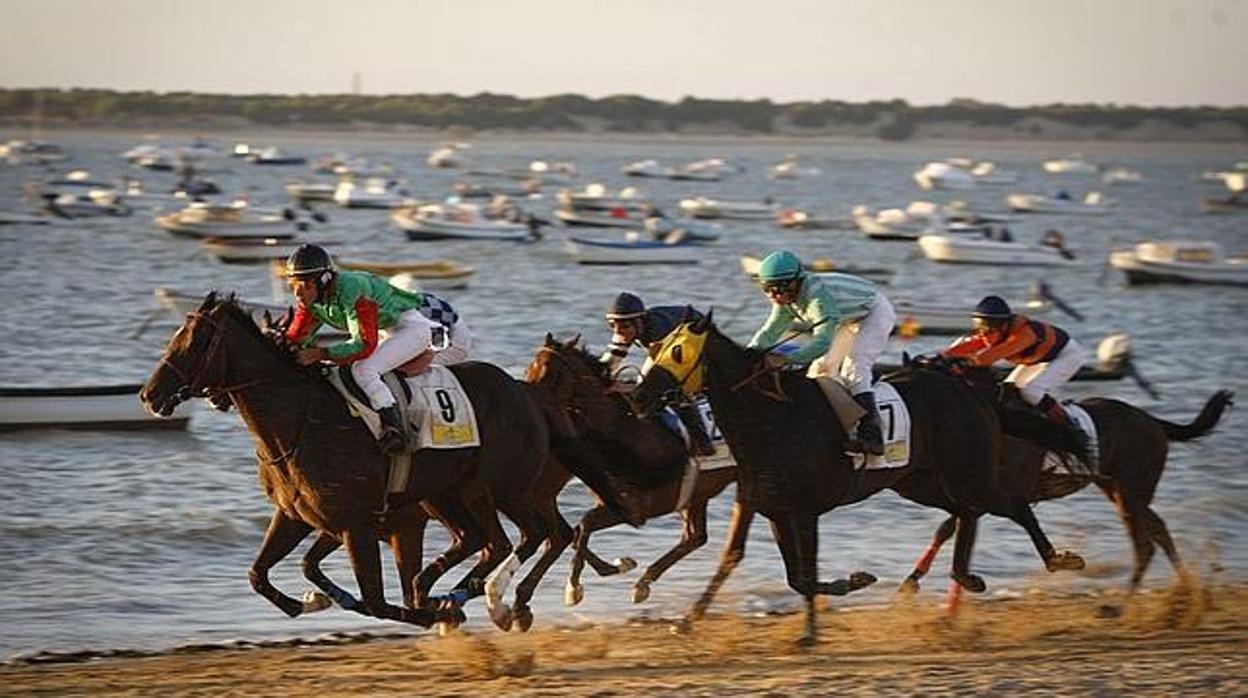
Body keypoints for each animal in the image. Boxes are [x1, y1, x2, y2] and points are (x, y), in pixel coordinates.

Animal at [141, 292, 566, 631]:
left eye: (197, 341)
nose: (149, 394)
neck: (302, 422)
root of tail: (527, 392)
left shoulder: (357, 525)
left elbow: (377, 602)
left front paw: (434, 610)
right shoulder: (298, 516)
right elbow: (260, 573)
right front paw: (310, 601)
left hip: (501, 487)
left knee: (532, 534)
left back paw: (486, 597)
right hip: (447, 494)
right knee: (485, 541)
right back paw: (456, 592)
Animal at [521, 337, 733, 606]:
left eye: (551, 372)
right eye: (528, 369)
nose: (527, 407)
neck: (621, 430)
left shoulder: (638, 508)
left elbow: (584, 523)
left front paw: (573, 587)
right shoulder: (616, 502)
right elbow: (579, 530)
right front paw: (614, 567)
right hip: (699, 494)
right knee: (695, 536)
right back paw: (643, 584)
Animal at [628, 314, 1088, 649]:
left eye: (678, 351)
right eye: (655, 348)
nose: (638, 397)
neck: (771, 418)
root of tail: (974, 391)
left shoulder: (804, 509)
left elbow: (804, 569)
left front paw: (811, 631)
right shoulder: (765, 504)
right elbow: (750, 562)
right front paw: (687, 621)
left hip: (968, 473)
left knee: (1011, 505)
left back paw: (1058, 560)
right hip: (922, 482)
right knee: (964, 513)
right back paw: (963, 576)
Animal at [898, 357, 1238, 599]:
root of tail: (1152, 421)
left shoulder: (987, 490)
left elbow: (951, 527)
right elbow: (945, 530)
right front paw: (911, 581)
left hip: (1131, 491)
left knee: (1145, 542)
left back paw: (1124, 603)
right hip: (1120, 489)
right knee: (1158, 528)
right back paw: (1183, 586)